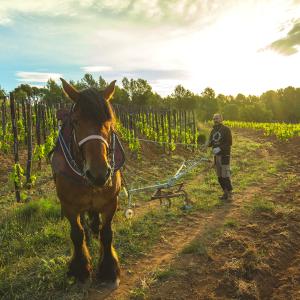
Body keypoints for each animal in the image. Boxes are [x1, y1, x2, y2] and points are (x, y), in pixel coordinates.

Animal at [51, 78, 120, 288]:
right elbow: (76, 233)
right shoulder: (69, 205)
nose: (99, 174)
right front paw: (80, 268)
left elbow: (107, 233)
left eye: (109, 122)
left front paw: (109, 268)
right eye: (76, 122)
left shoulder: (110, 202)